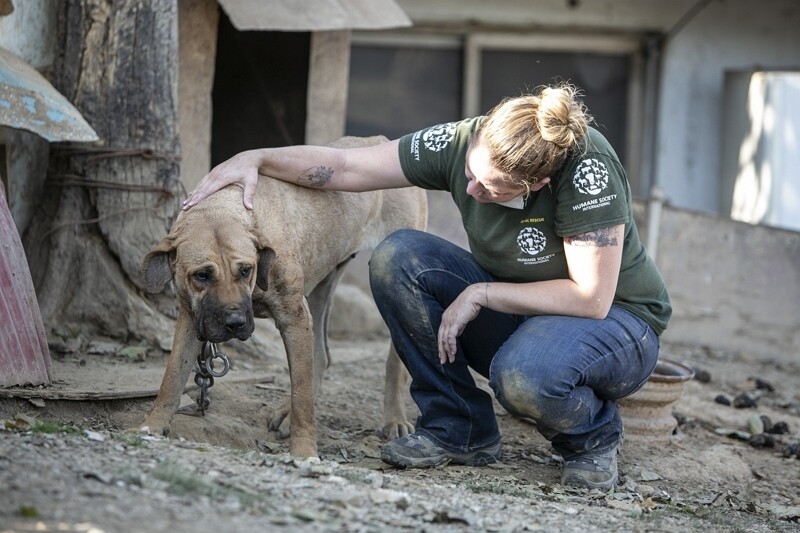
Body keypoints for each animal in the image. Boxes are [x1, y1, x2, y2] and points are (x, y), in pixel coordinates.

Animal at [139, 135, 424, 456]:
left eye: (245, 270)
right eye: (202, 276)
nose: (235, 323)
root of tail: (385, 140)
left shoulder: (293, 318)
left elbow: (301, 394)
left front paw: (304, 452)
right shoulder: (191, 317)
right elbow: (172, 376)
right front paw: (153, 424)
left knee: (393, 362)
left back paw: (394, 419)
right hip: (321, 283)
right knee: (320, 356)